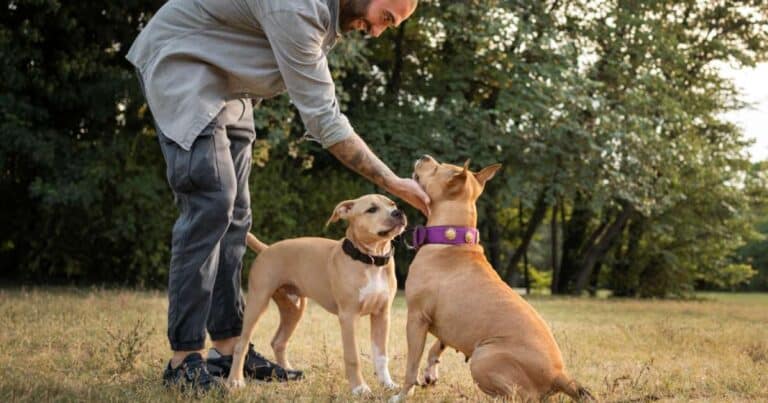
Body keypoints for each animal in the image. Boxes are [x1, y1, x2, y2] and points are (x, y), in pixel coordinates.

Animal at [228, 194, 408, 396]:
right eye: (371, 209)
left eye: (392, 204)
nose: (398, 212)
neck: (370, 260)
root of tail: (266, 248)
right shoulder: (348, 317)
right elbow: (353, 356)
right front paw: (359, 388)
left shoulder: (382, 315)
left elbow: (381, 355)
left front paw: (388, 384)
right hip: (257, 302)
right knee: (241, 344)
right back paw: (235, 381)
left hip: (294, 308)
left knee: (278, 341)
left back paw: (288, 374)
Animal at [392, 156, 596, 402]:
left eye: (437, 168)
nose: (425, 157)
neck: (452, 238)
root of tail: (560, 375)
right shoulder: (447, 323)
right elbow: (437, 346)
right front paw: (431, 371)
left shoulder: (416, 318)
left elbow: (411, 365)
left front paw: (402, 395)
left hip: (483, 357)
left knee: (517, 396)